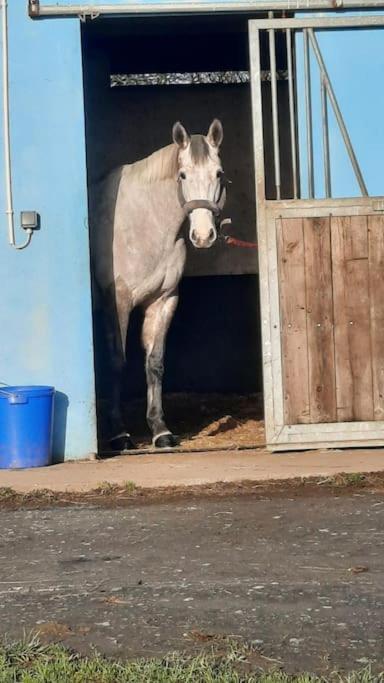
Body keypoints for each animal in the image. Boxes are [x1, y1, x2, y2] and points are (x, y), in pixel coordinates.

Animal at [91, 119, 225, 448]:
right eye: (183, 175)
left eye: (218, 173)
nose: (203, 236)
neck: (147, 223)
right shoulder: (118, 301)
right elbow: (118, 362)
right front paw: (119, 433)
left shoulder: (164, 300)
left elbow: (155, 363)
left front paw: (160, 430)